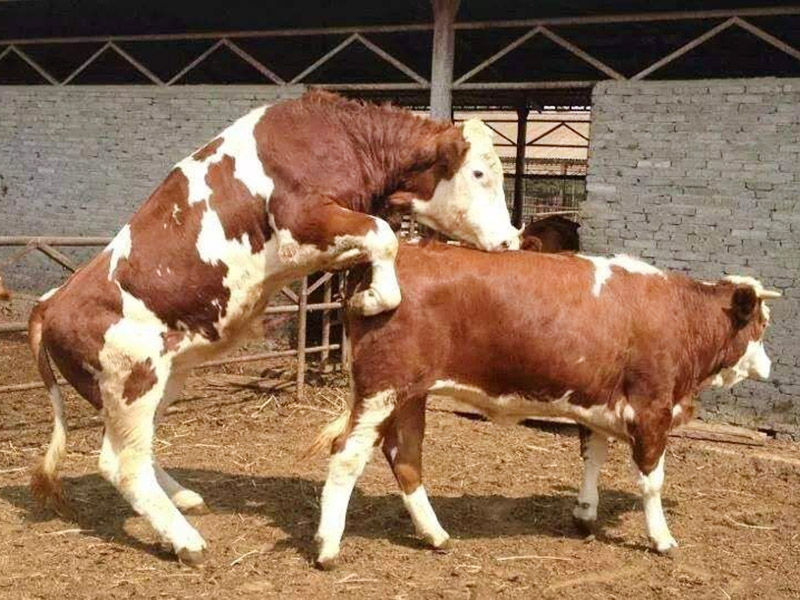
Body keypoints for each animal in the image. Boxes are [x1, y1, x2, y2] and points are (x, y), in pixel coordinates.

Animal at [27, 91, 520, 565]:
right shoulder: (301, 221)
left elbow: (380, 239)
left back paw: (184, 498)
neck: (338, 138)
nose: (510, 240)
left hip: (164, 377)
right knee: (121, 464)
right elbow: (383, 234)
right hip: (133, 379)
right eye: (479, 173)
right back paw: (187, 542)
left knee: (139, 450)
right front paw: (373, 298)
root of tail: (53, 302)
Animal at [310, 242, 779, 569]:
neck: (680, 316)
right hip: (383, 388)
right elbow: (652, 482)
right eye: (761, 323)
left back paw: (436, 535)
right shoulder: (651, 410)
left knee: (406, 457)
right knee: (347, 456)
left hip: (410, 396)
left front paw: (585, 514)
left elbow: (593, 456)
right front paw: (662, 538)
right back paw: (328, 548)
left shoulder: (601, 404)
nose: (770, 366)